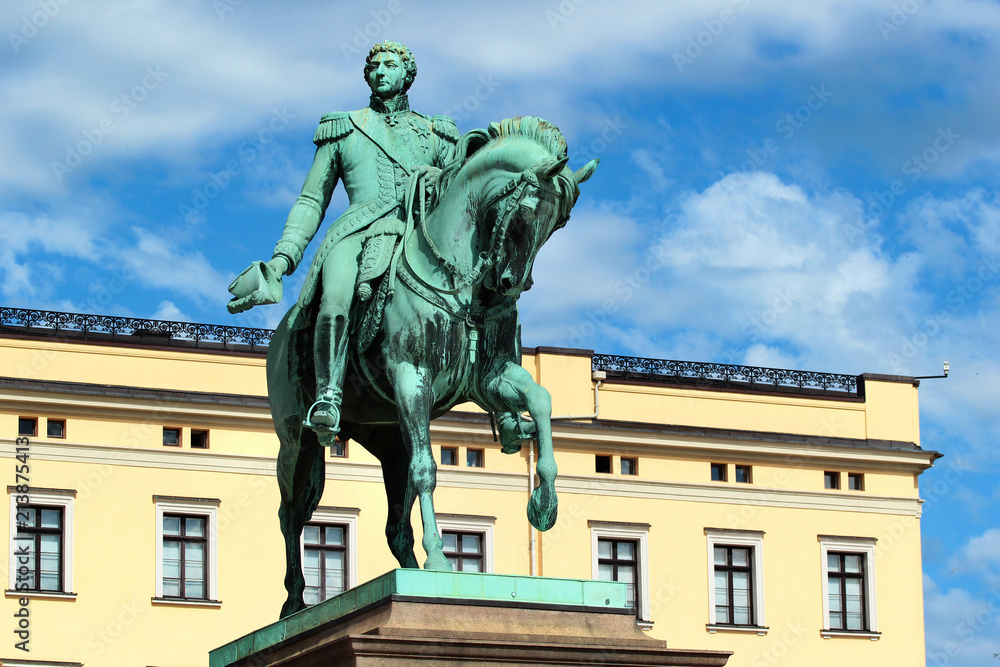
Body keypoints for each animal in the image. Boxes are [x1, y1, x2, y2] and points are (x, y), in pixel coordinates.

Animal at [266, 116, 596, 620]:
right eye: (525, 213)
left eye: (558, 224)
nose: (509, 286)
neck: (460, 278)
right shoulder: (411, 379)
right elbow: (429, 469)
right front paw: (440, 556)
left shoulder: (491, 378)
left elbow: (541, 401)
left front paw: (544, 502)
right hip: (296, 442)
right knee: (291, 515)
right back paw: (295, 601)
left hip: (390, 441)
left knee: (394, 524)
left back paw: (407, 568)